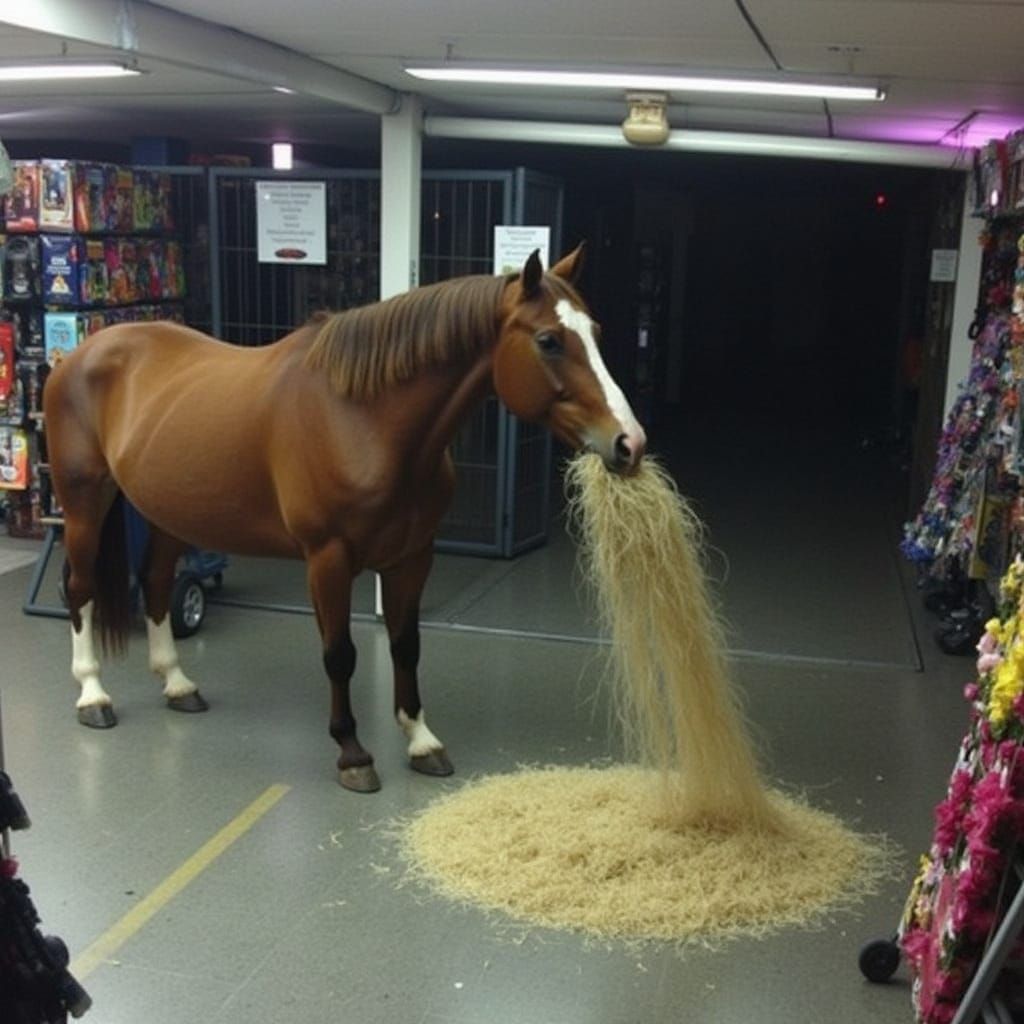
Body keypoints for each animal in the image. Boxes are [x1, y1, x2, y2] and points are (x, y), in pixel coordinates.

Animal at [42, 245, 646, 793]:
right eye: (548, 340)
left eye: (595, 332)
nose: (630, 443)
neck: (364, 418)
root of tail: (77, 355)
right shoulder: (327, 561)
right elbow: (340, 654)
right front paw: (353, 753)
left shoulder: (411, 558)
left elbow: (406, 645)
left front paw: (421, 740)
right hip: (84, 504)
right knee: (81, 588)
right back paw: (92, 694)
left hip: (167, 512)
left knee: (156, 583)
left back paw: (177, 684)